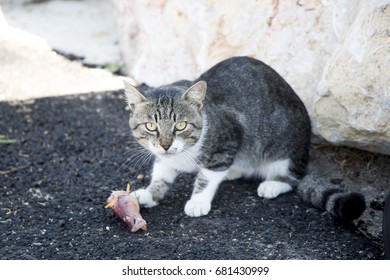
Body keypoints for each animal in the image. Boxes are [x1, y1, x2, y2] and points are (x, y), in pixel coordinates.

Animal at [124, 56, 366, 221]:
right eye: (151, 126)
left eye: (181, 125)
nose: (166, 144)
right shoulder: (164, 157)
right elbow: (161, 174)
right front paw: (150, 193)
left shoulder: (228, 142)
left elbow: (207, 176)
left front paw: (198, 201)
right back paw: (235, 171)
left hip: (284, 148)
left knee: (294, 177)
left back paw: (272, 184)